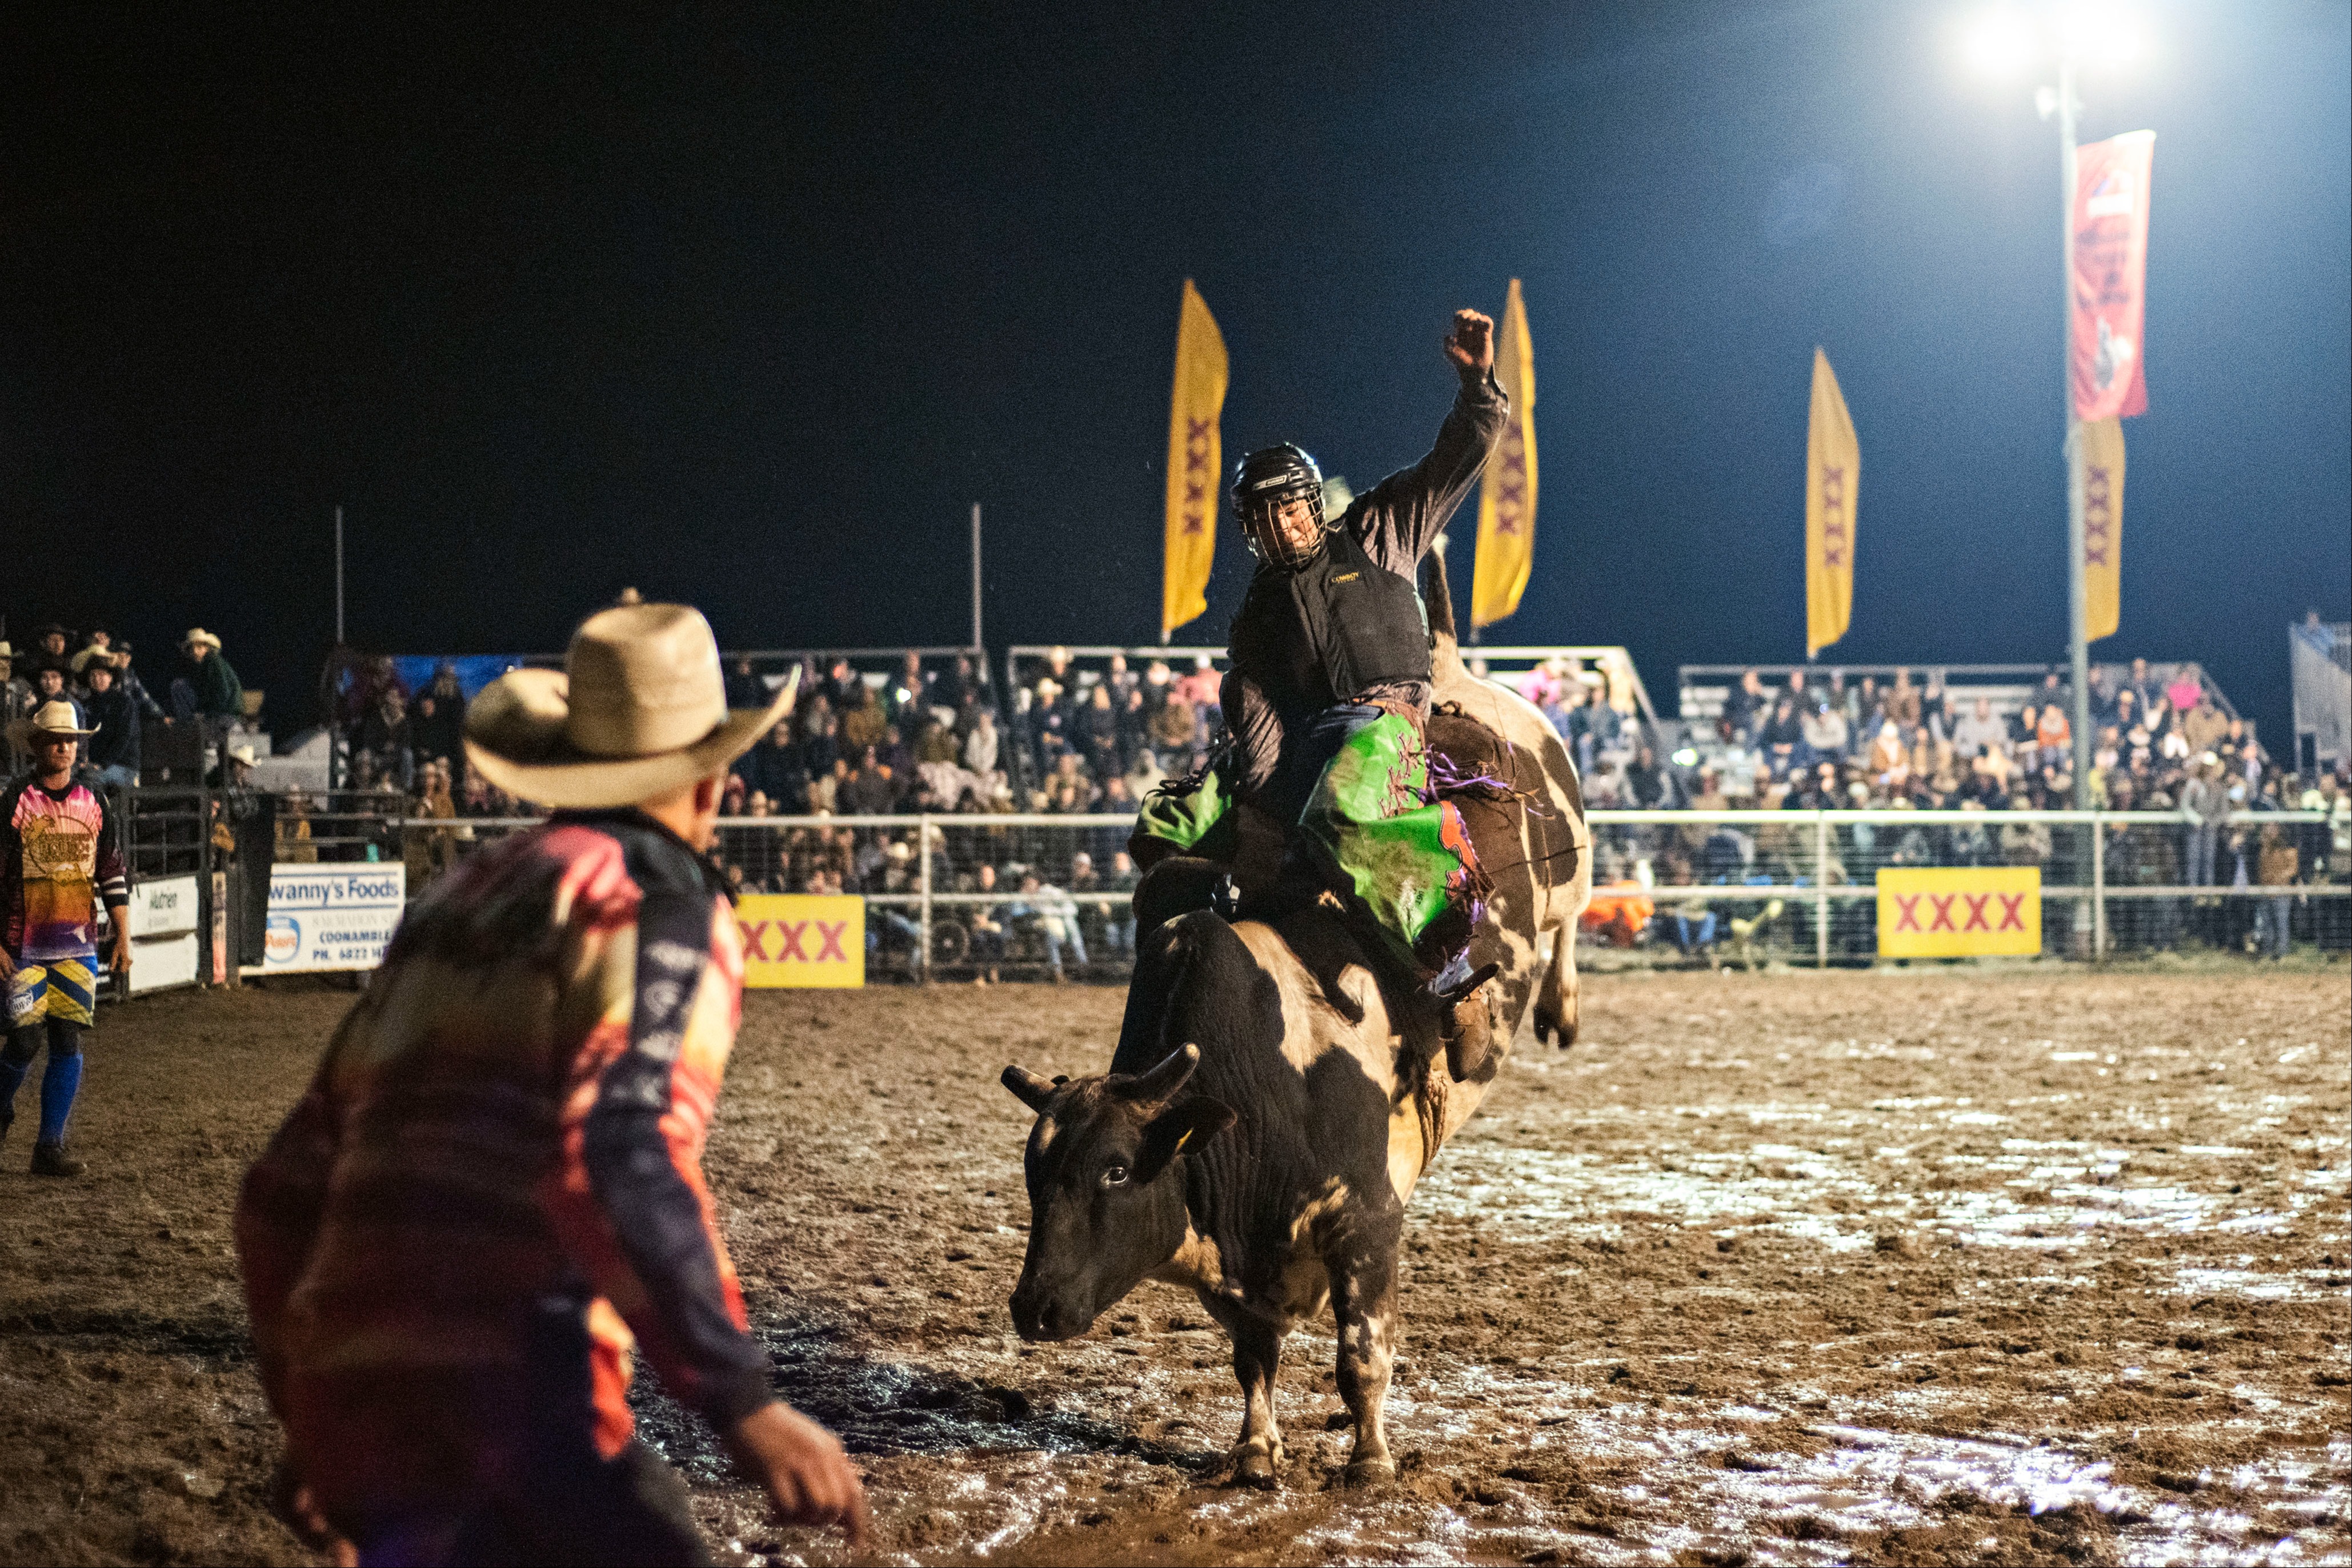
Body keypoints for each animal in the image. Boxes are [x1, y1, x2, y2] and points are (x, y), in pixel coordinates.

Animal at [1001, 562, 1590, 1485]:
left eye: (1115, 1170)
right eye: (1034, 1172)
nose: (1035, 1307)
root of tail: (1448, 669)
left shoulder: (1368, 1224)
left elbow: (1362, 1357)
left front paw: (1370, 1460)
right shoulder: (1244, 1273)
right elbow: (1255, 1358)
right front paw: (1254, 1452)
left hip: (1571, 860)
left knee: (1570, 918)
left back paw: (1558, 1005)